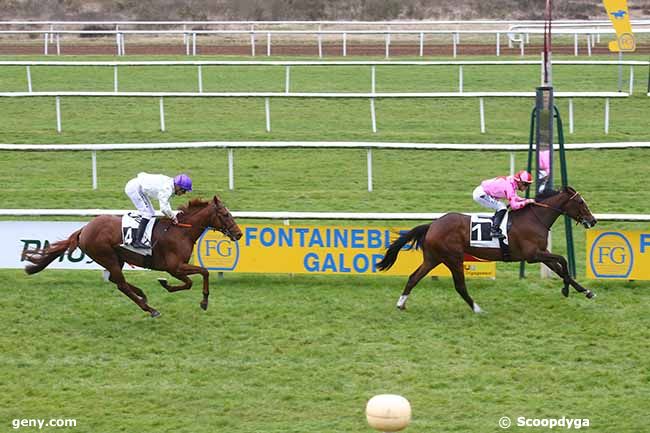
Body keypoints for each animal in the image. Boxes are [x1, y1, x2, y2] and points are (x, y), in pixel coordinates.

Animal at [22, 196, 242, 318]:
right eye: (225, 214)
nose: (239, 234)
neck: (181, 231)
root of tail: (85, 229)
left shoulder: (177, 267)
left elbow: (196, 277)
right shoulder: (174, 267)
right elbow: (198, 275)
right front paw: (201, 300)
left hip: (116, 258)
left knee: (118, 281)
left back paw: (142, 294)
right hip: (107, 256)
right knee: (120, 284)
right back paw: (150, 308)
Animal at [378, 185, 596, 310]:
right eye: (580, 201)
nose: (593, 220)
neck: (534, 218)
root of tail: (432, 224)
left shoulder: (542, 254)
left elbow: (561, 268)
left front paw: (584, 291)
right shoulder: (533, 255)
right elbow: (563, 261)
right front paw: (567, 289)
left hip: (433, 258)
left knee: (413, 277)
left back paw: (401, 304)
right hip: (453, 258)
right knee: (459, 286)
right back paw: (476, 308)